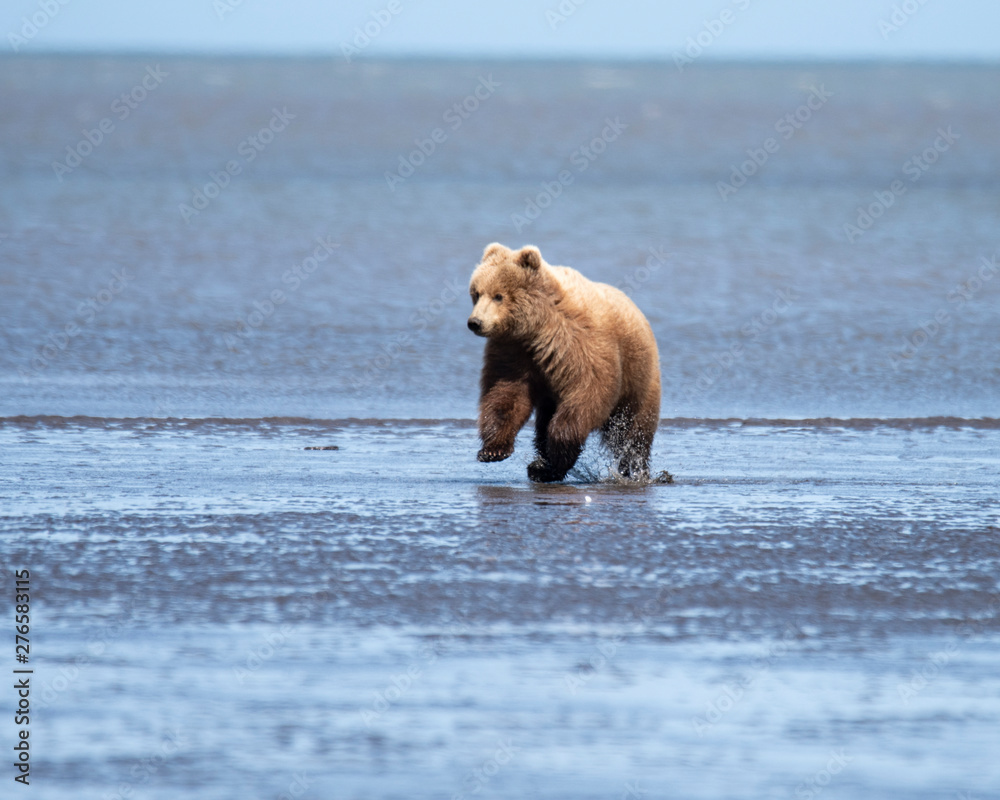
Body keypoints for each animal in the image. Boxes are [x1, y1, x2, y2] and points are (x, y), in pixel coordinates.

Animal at [467, 242, 661, 483]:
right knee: (543, 422)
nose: (475, 322)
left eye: (498, 296)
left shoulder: (579, 345)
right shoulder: (514, 350)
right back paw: (541, 467)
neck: (536, 330)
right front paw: (492, 450)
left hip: (638, 377)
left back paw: (634, 468)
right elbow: (505, 394)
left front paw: (560, 450)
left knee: (633, 432)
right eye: (476, 293)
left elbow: (587, 392)